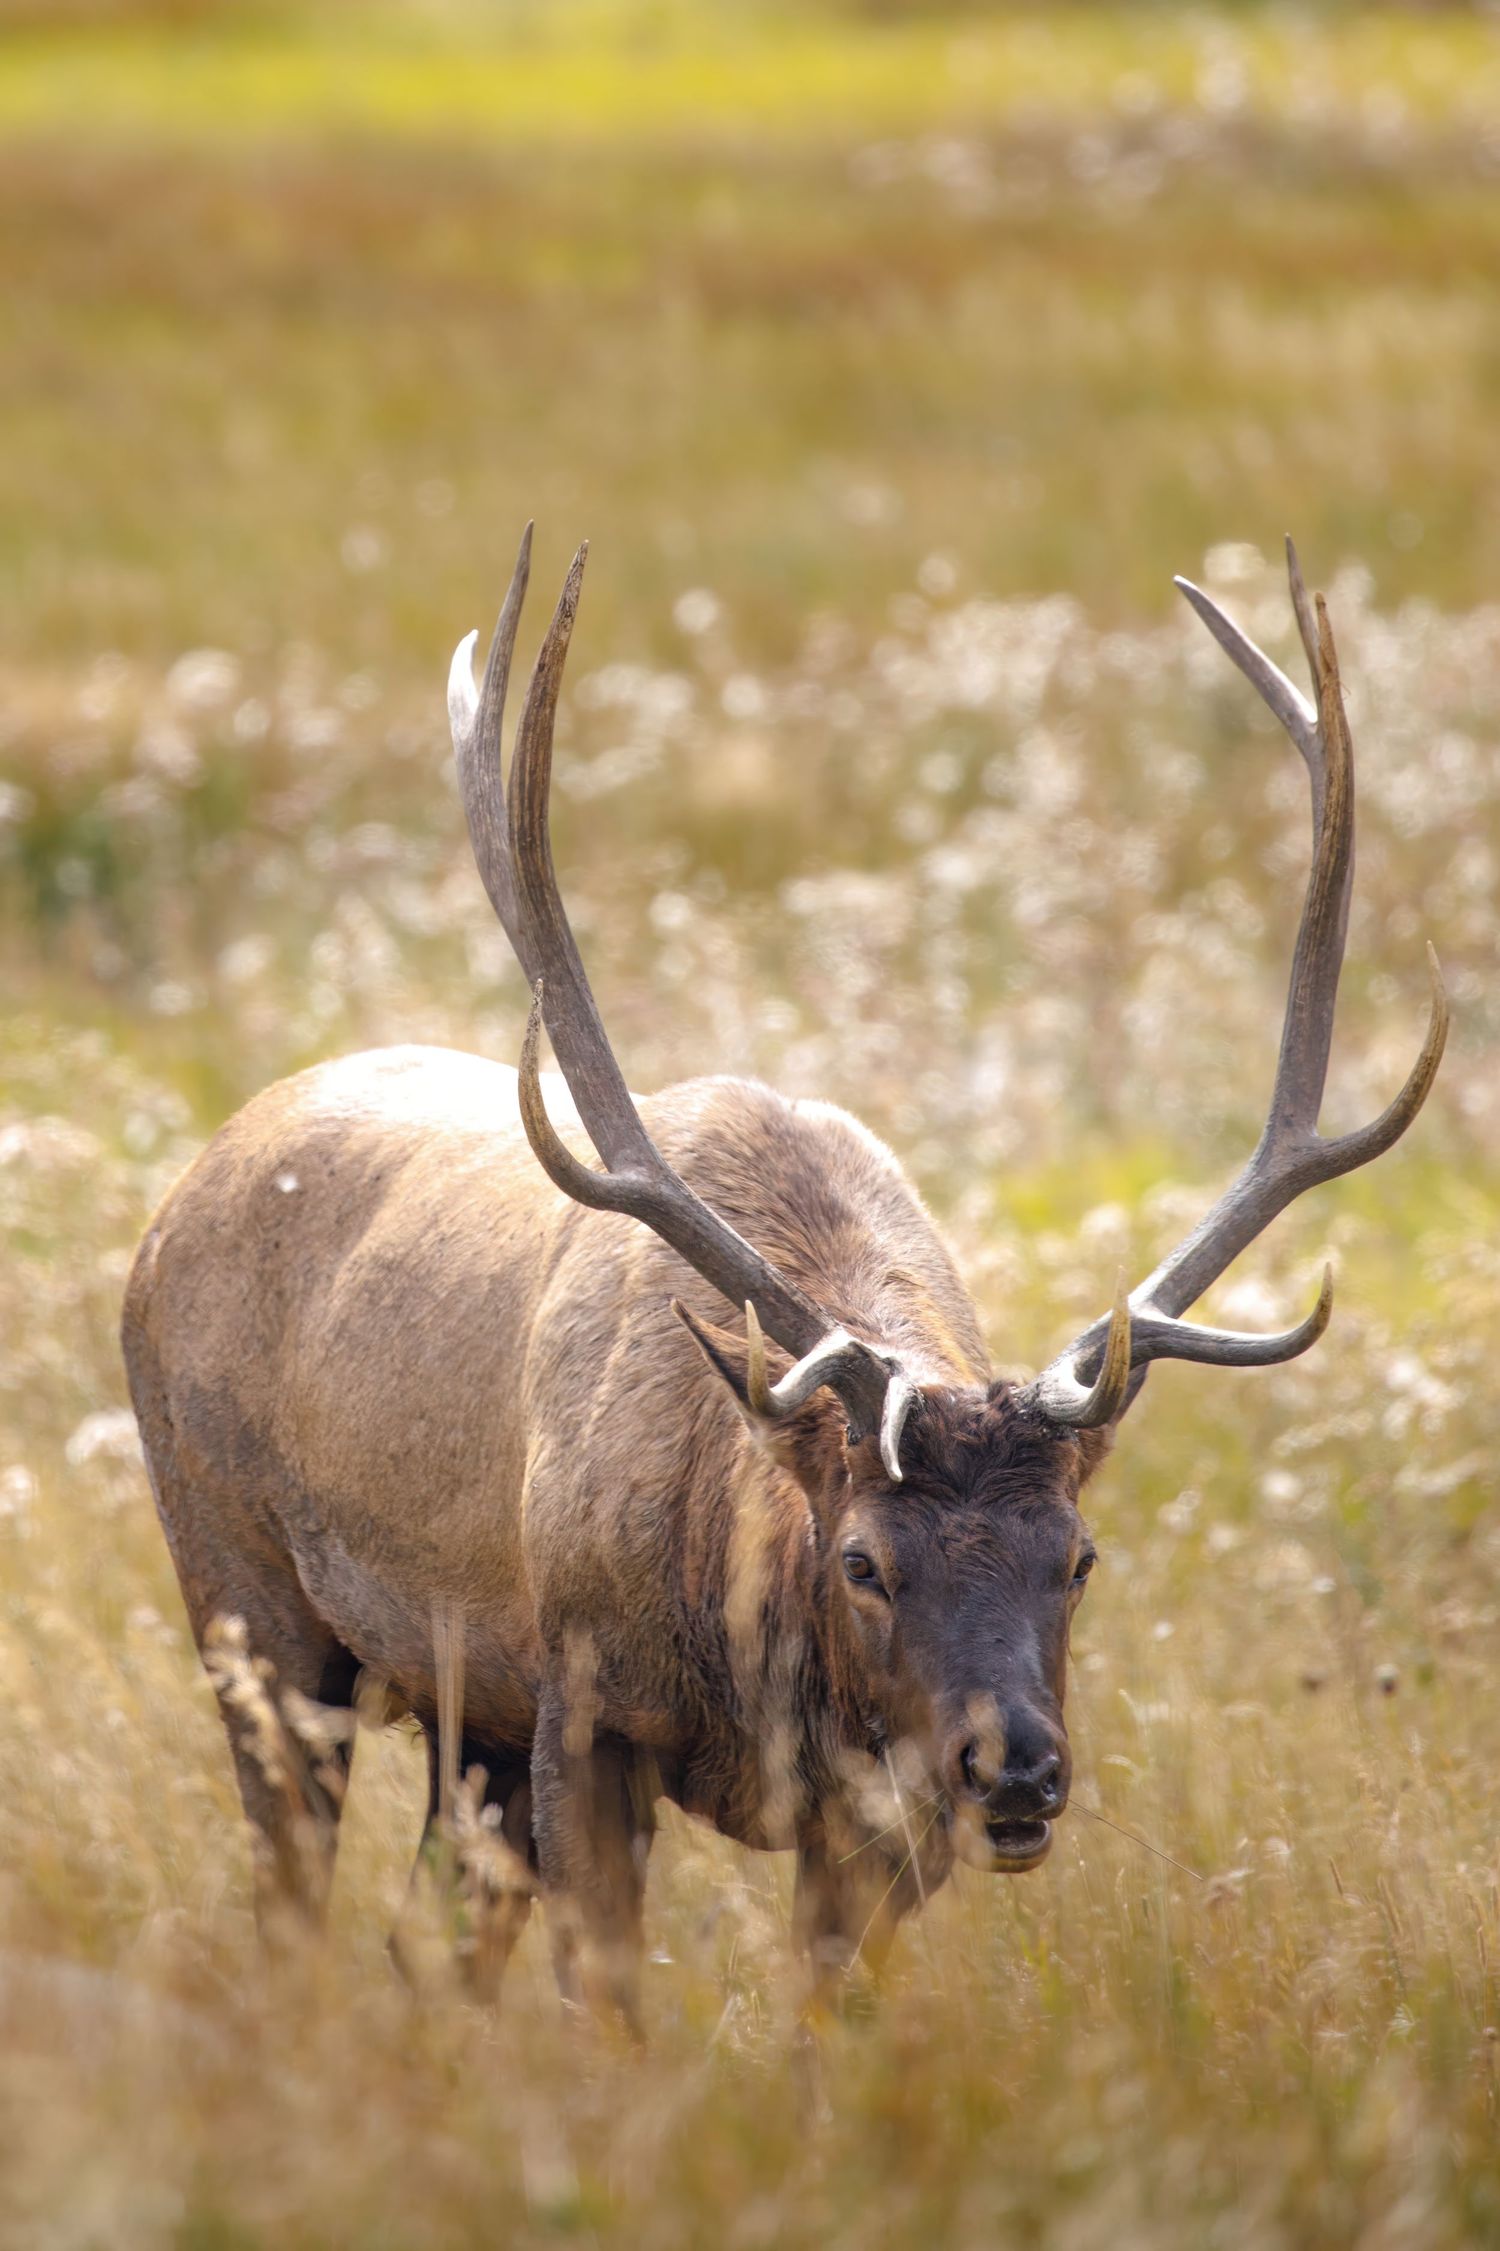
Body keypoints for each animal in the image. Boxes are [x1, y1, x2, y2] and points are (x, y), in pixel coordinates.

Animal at [122, 529, 1446, 2024]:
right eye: (864, 1558)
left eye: (1082, 1555)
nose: (1018, 1769)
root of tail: (175, 1200)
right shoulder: (583, 1708)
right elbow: (608, 2005)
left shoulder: (876, 1816)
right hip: (249, 1599)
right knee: (290, 1897)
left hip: (465, 1710)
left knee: (426, 1936)